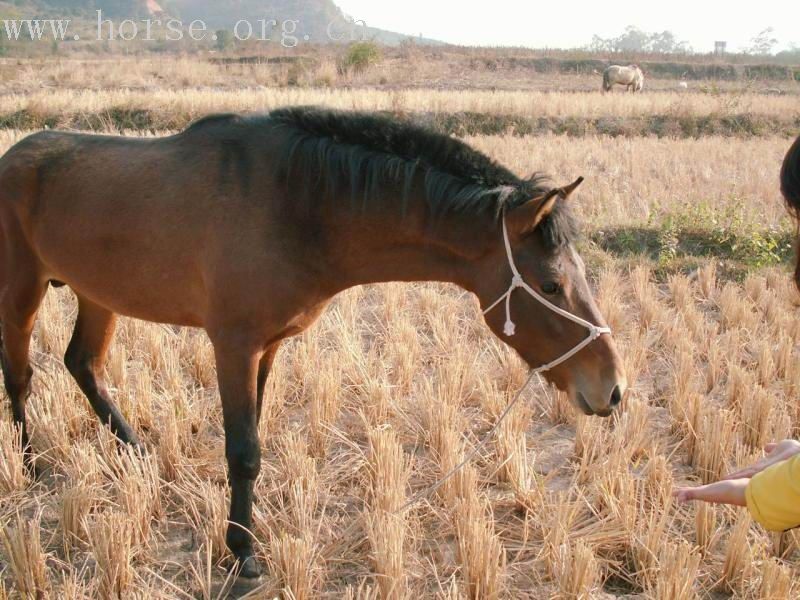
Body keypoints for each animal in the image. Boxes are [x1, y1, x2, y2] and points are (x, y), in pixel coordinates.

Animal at [0, 108, 624, 576]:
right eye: (551, 284)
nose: (612, 388)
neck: (294, 205)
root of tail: (12, 157)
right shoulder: (234, 344)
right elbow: (243, 450)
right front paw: (243, 553)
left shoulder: (269, 346)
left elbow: (256, 441)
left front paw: (244, 531)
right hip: (21, 291)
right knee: (21, 373)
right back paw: (30, 466)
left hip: (95, 293)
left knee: (83, 365)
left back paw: (135, 452)